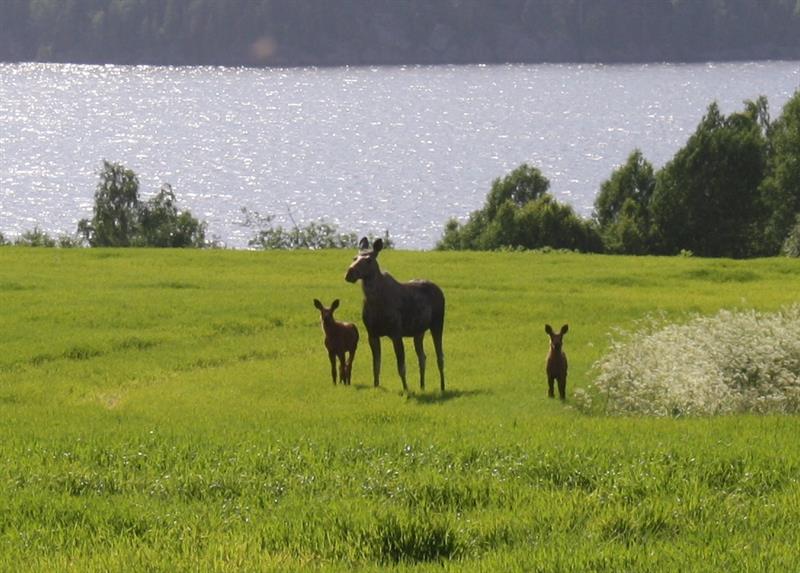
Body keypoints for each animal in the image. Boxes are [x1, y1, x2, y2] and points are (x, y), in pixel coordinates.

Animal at [344, 235, 444, 392]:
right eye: (354, 257)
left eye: (369, 260)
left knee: (440, 357)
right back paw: (422, 386)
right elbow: (376, 366)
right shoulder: (372, 334)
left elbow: (401, 366)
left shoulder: (396, 333)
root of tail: (440, 290)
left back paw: (442, 387)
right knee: (422, 357)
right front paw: (376, 386)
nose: (349, 273)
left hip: (437, 324)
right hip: (418, 332)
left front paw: (406, 389)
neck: (375, 301)